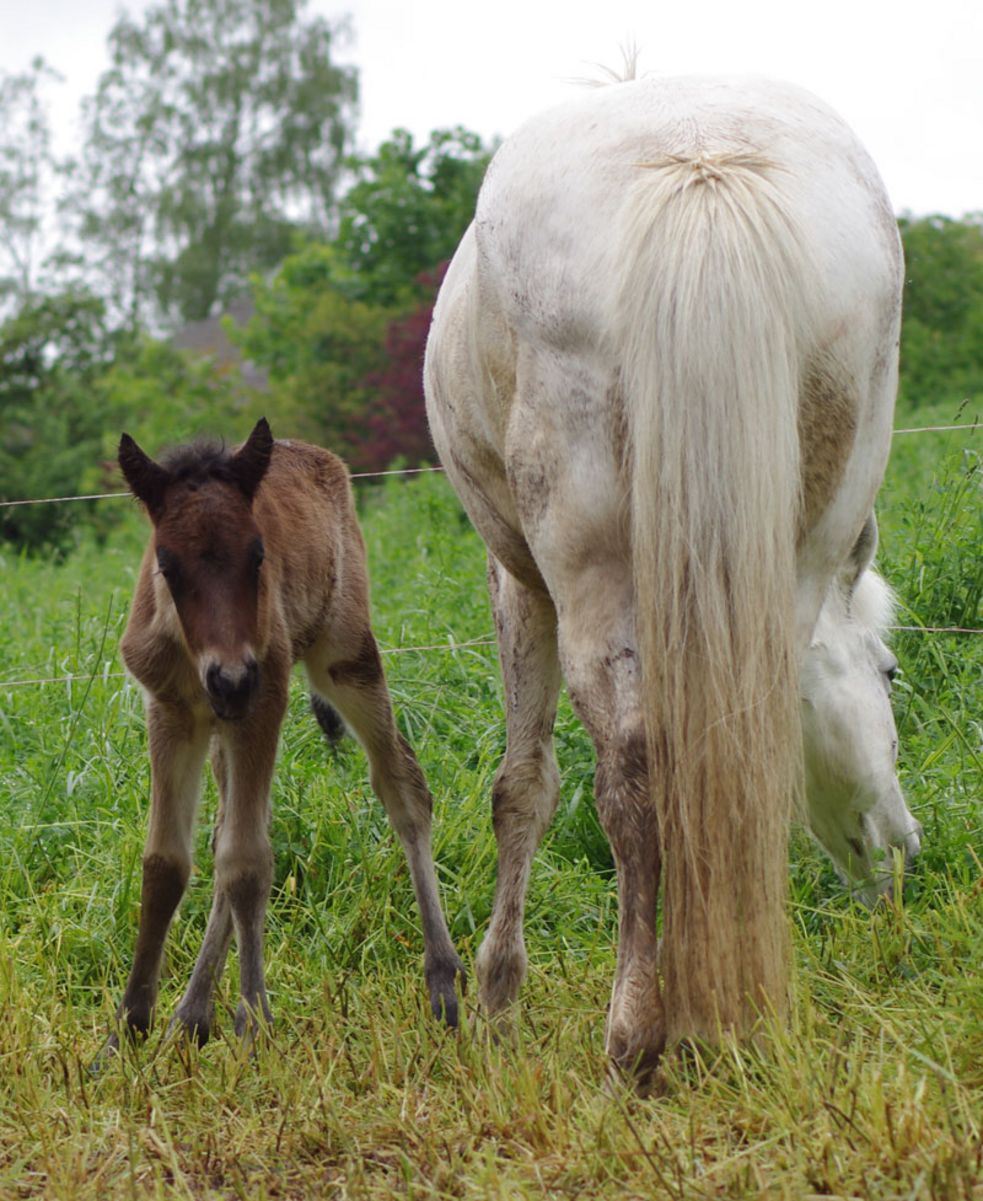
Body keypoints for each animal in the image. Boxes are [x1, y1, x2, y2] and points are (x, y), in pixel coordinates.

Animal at [423, 77, 918, 1090]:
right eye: (888, 671)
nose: (902, 848)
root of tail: (701, 161)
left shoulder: (518, 583)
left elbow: (522, 788)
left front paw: (495, 999)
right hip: (796, 551)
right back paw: (733, 1016)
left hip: (585, 573)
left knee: (633, 775)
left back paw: (635, 1033)